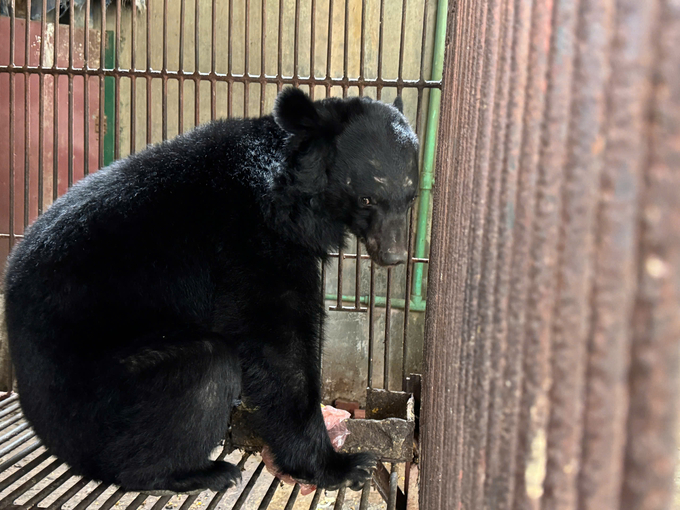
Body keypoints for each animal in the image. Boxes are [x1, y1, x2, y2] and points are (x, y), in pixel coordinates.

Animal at [3, 87, 420, 494]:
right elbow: (278, 343)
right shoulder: (249, 242)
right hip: (98, 392)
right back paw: (196, 472)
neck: (289, 198)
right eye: (367, 197)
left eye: (411, 197)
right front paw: (342, 466)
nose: (394, 255)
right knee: (208, 370)